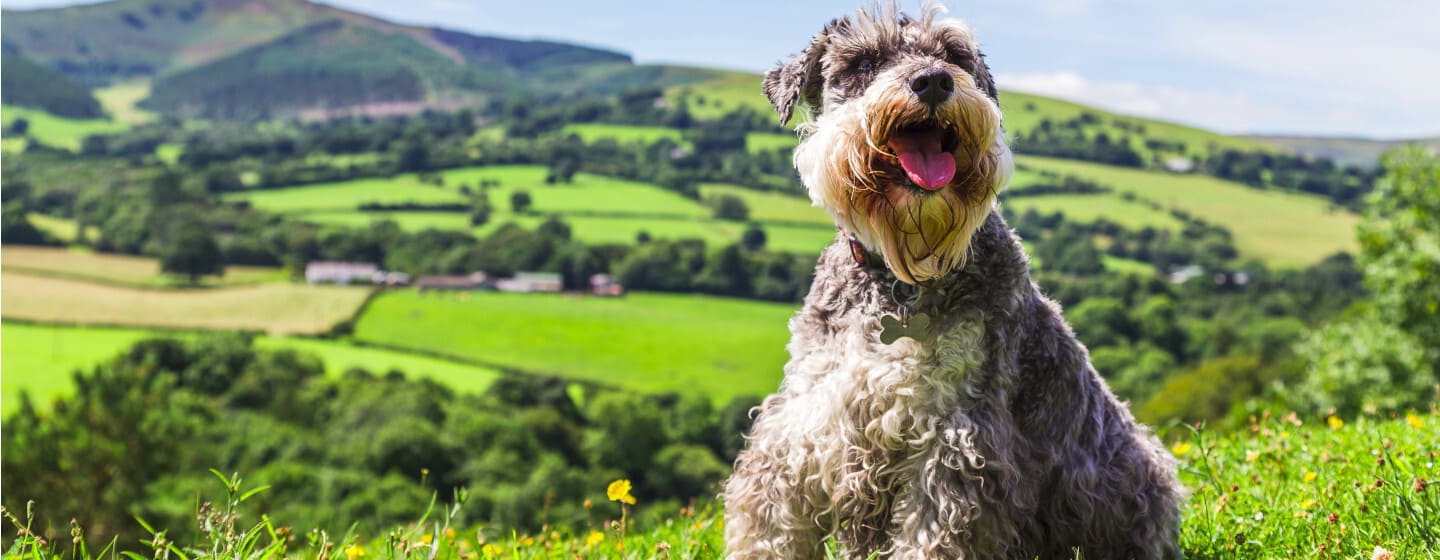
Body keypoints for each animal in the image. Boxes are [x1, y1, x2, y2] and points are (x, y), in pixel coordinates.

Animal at [720, 4, 1180, 558]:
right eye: (864, 61)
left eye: (954, 55)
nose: (934, 81)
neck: (903, 279)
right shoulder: (803, 421)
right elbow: (770, 521)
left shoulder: (956, 439)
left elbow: (934, 531)